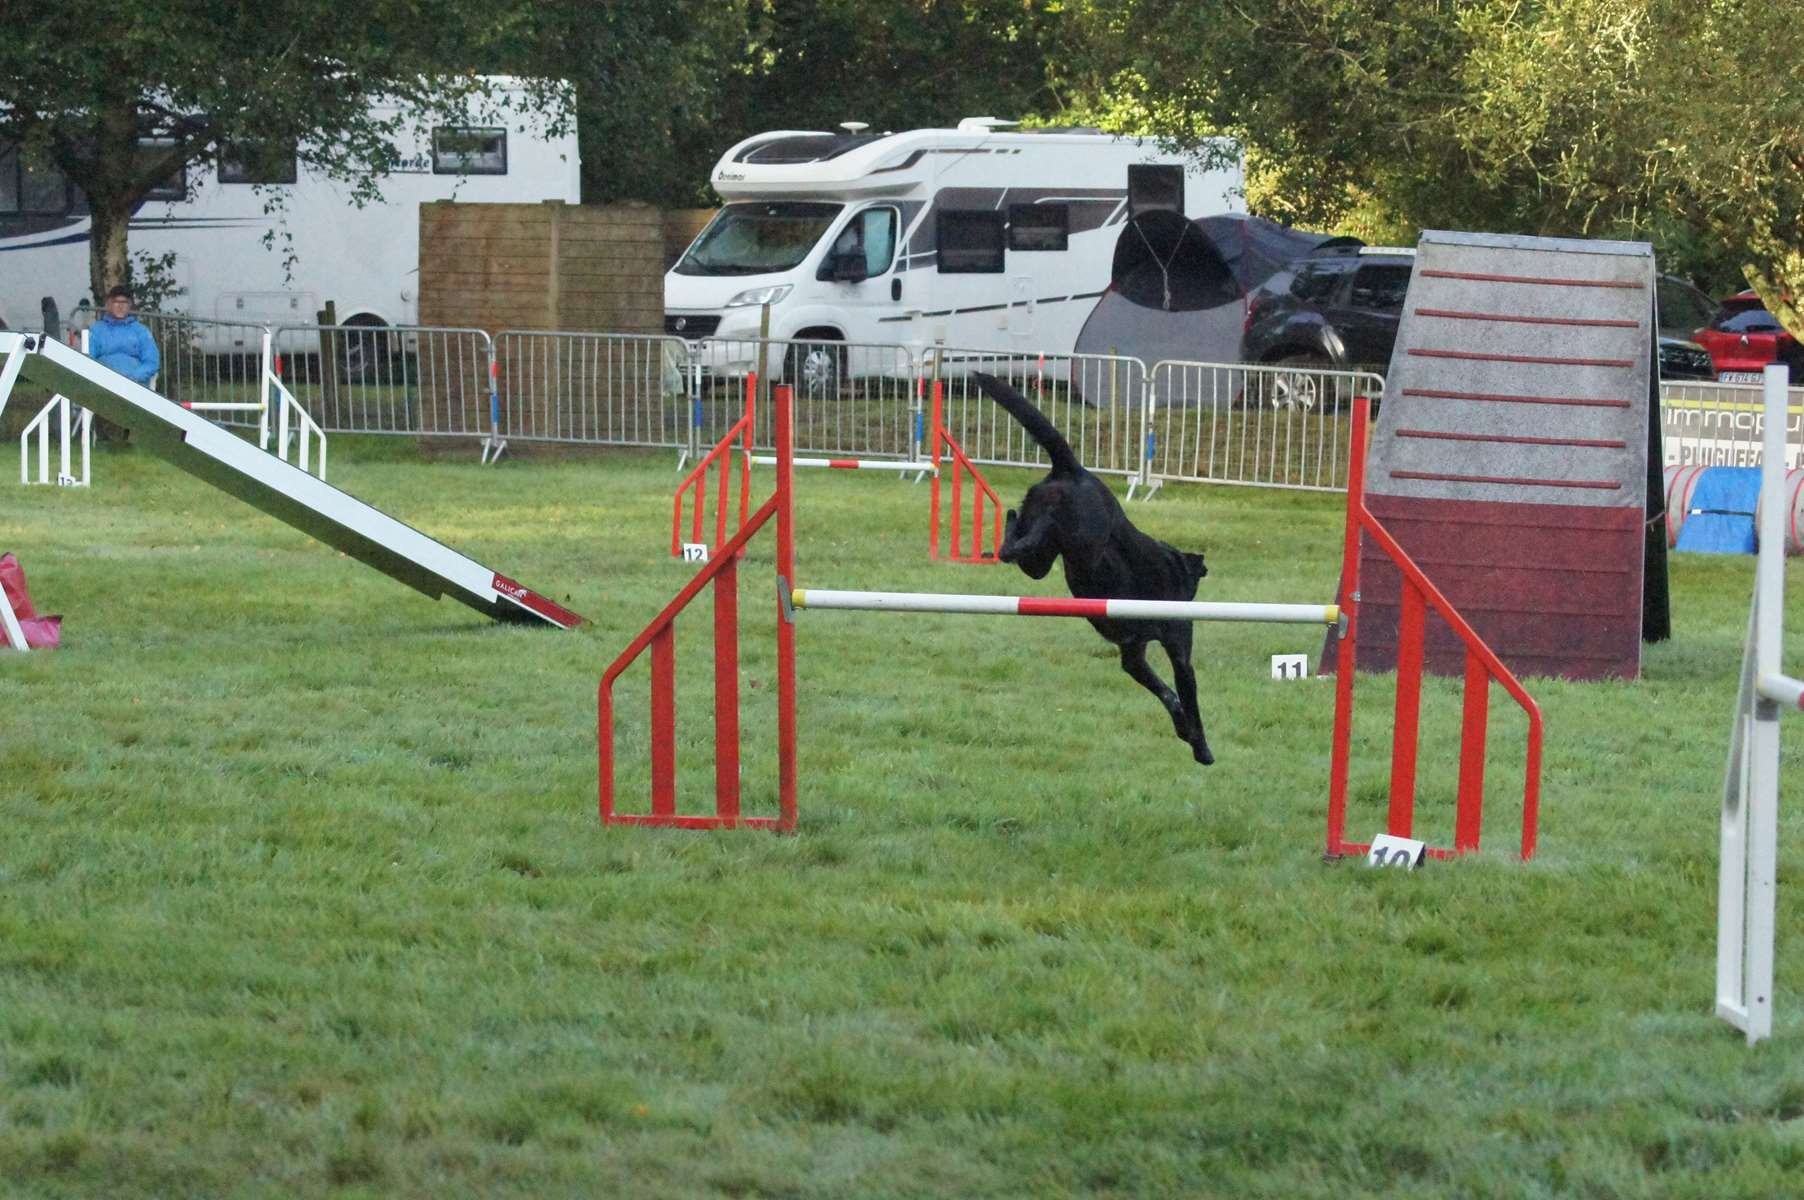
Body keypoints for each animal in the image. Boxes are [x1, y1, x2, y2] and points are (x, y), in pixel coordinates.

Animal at [974, 375, 1212, 761]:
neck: (1173, 567)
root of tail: (1074, 469)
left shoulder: (1133, 656)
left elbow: (1168, 696)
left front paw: (1181, 727)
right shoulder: (1179, 653)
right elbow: (1190, 702)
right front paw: (1202, 748)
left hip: (1042, 560)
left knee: (1014, 541)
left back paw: (1009, 532)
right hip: (1084, 540)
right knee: (1044, 527)